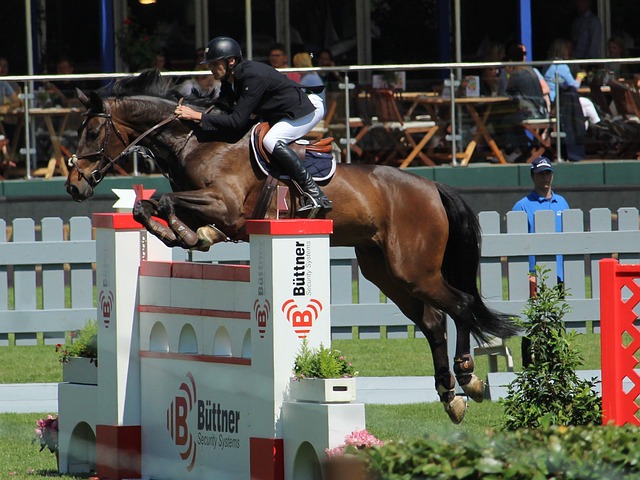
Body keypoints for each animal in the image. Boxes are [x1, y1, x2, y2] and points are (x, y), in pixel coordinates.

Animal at [65, 68, 516, 424]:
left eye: (93, 131)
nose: (74, 187)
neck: (195, 141)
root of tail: (432, 186)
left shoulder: (225, 206)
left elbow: (162, 202)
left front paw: (188, 235)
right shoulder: (211, 208)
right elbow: (148, 206)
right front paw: (188, 236)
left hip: (414, 269)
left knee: (460, 305)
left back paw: (468, 376)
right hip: (384, 271)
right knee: (434, 321)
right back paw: (450, 396)